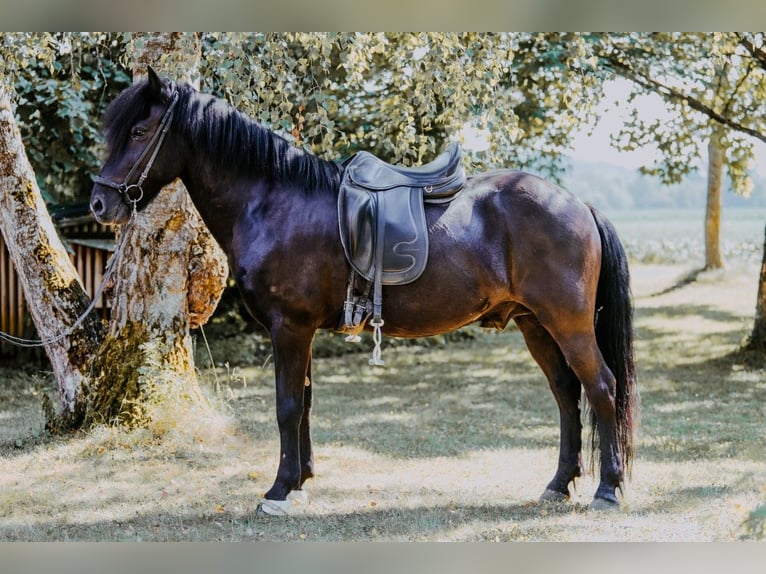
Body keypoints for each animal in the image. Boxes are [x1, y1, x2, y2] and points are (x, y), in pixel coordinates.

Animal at [90, 67, 637, 515]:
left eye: (138, 131)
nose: (99, 204)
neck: (272, 202)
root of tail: (577, 204)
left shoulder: (289, 327)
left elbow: (287, 407)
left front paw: (278, 491)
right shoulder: (301, 330)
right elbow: (305, 402)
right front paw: (301, 482)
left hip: (567, 323)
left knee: (602, 387)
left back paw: (607, 489)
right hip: (534, 323)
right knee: (567, 393)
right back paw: (559, 484)